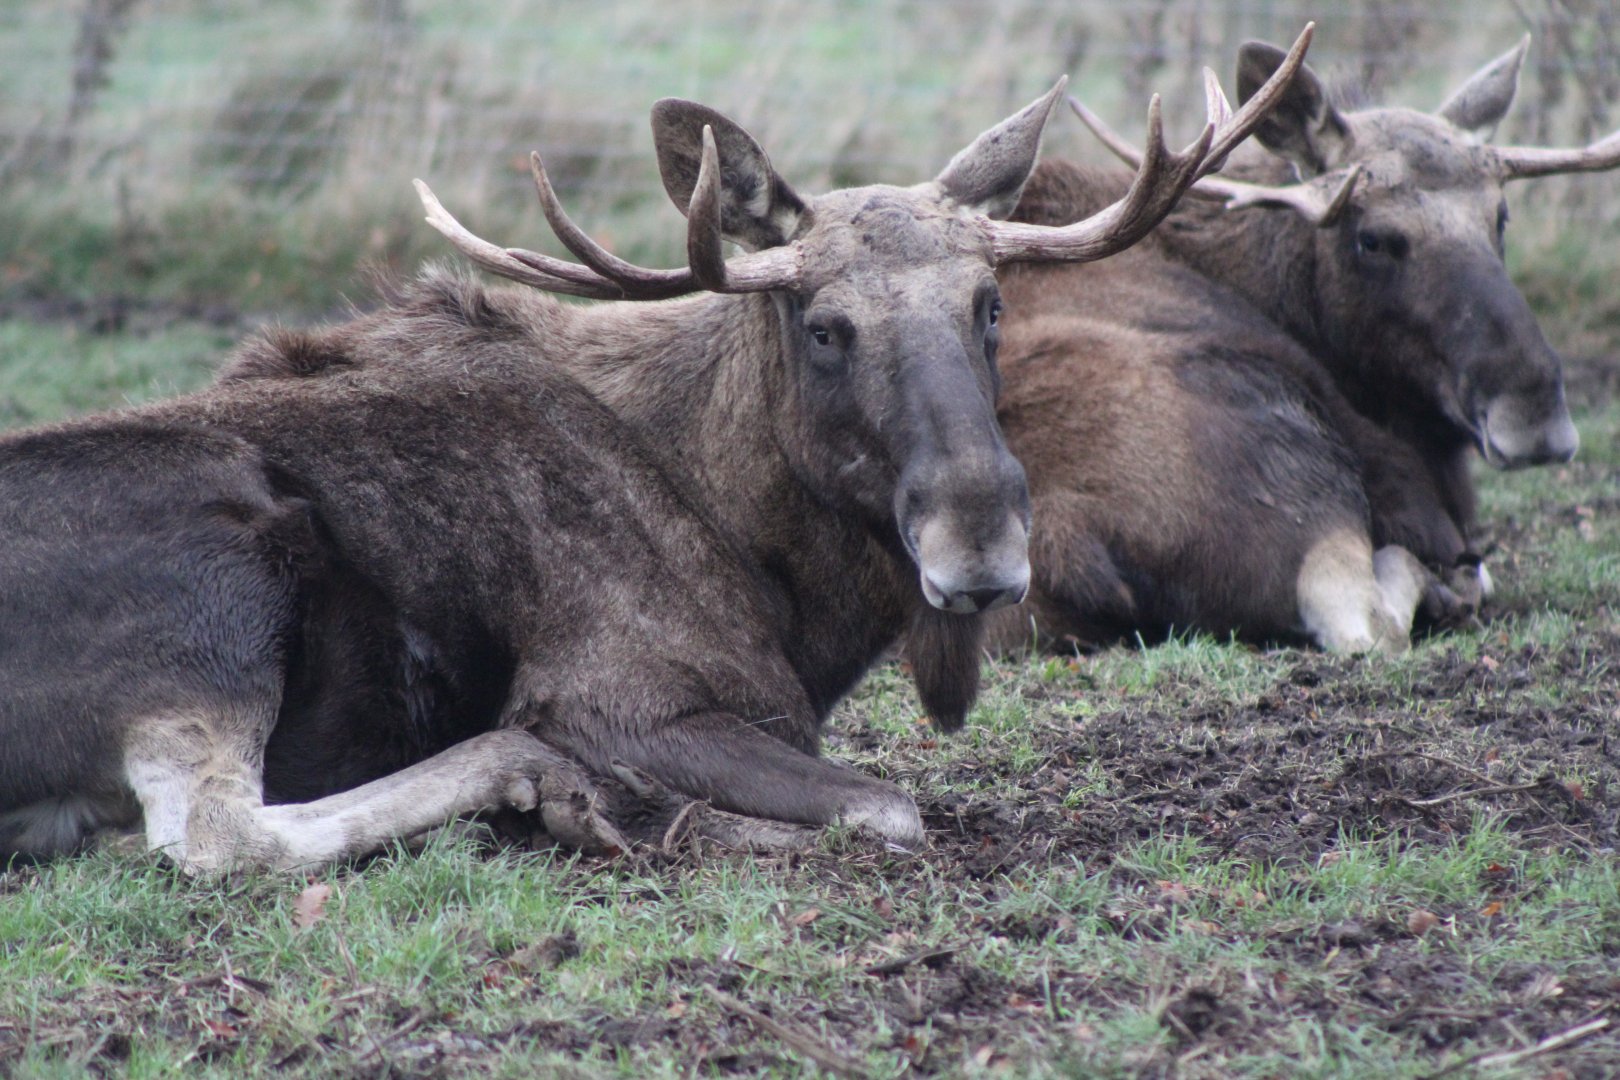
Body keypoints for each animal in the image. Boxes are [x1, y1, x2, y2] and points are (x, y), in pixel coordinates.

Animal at [0, 34, 1312, 873]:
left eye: (992, 302)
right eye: (823, 324)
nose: (981, 543)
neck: (790, 588)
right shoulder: (628, 696)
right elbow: (886, 809)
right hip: (220, 586)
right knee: (217, 838)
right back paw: (539, 782)